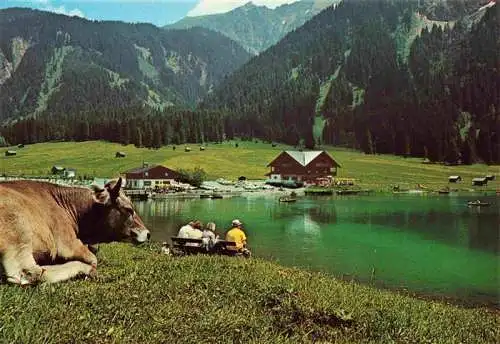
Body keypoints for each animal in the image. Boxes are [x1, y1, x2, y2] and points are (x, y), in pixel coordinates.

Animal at [0, 177, 148, 284]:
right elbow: (93, 259)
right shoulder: (68, 243)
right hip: (19, 229)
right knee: (33, 273)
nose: (148, 234)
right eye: (129, 209)